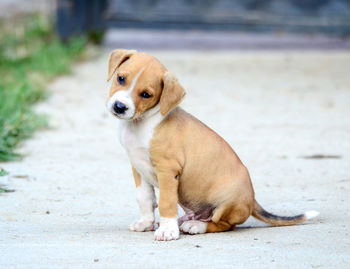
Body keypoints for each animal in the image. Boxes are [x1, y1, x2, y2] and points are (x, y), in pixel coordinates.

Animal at [105, 49, 318, 240]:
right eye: (121, 78)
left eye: (146, 94)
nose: (119, 107)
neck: (141, 123)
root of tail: (252, 199)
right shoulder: (138, 167)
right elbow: (145, 199)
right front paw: (146, 223)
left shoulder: (167, 171)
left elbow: (166, 202)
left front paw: (167, 231)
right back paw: (185, 221)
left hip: (227, 202)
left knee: (223, 225)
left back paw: (196, 226)